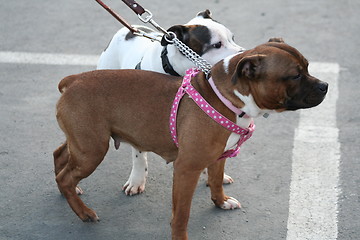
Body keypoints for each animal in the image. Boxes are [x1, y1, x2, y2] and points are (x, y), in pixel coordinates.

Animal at [54, 40, 330, 239]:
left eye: (307, 67)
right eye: (295, 76)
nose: (325, 86)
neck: (226, 97)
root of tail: (73, 81)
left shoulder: (219, 157)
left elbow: (216, 181)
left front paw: (221, 202)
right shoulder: (187, 169)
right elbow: (182, 214)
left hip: (81, 143)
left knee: (60, 157)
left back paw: (70, 194)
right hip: (92, 150)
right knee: (66, 176)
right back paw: (84, 213)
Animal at [97, 10, 246, 196]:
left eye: (232, 38)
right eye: (217, 45)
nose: (245, 54)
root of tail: (129, 31)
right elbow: (139, 155)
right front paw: (136, 180)